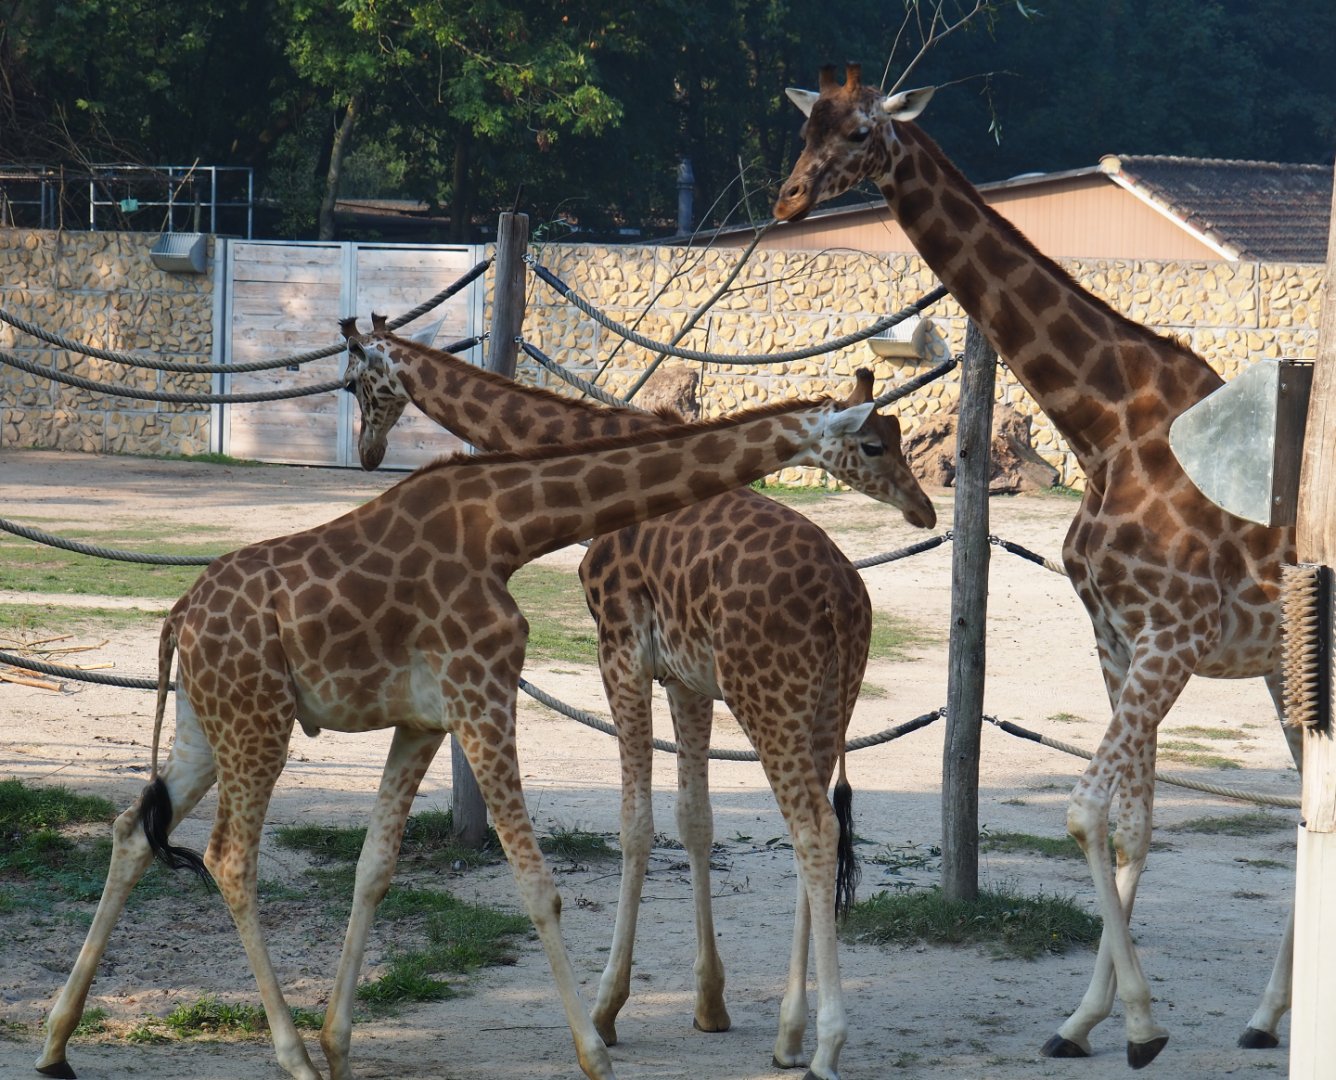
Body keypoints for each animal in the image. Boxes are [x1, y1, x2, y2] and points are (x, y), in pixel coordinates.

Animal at [34, 380, 893, 1080]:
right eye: (872, 442)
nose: (915, 502)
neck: (510, 529)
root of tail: (178, 616)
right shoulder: (484, 691)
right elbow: (538, 884)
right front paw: (593, 1050)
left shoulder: (424, 719)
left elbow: (375, 867)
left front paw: (341, 1042)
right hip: (256, 724)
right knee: (230, 857)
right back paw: (288, 1057)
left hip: (205, 725)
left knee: (131, 831)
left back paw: (56, 1042)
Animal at [341, 315, 935, 1080]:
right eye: (877, 441)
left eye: (354, 383)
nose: (367, 450)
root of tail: (841, 598)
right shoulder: (686, 677)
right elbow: (695, 820)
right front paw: (710, 1003)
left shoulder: (619, 649)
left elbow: (635, 825)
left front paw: (607, 1009)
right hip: (832, 701)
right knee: (822, 829)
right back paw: (788, 1033)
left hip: (768, 694)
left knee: (813, 828)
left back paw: (825, 1042)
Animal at [774, 63, 1299, 1068]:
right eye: (805, 128)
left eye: (860, 132)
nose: (787, 201)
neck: (1105, 427)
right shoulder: (1119, 637)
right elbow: (1130, 821)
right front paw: (1087, 1020)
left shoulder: (1173, 636)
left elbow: (1086, 812)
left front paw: (1139, 1026)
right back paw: (1264, 1016)